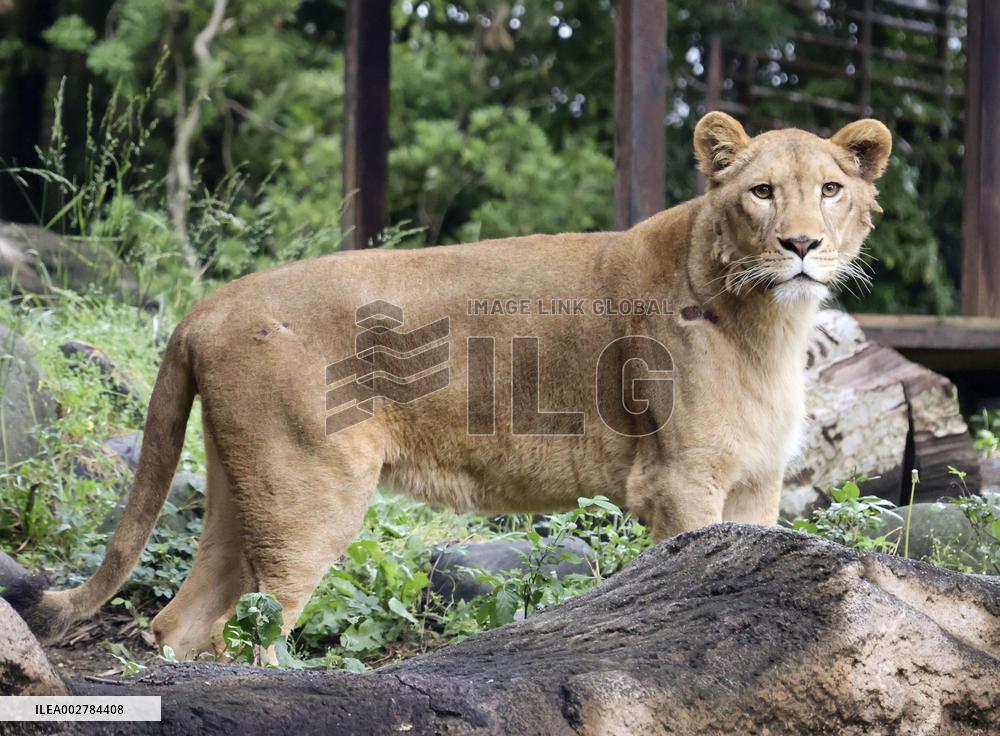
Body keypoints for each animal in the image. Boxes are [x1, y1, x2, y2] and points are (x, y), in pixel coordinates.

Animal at [5, 113, 891, 660]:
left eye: (832, 190)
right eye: (762, 192)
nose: (802, 245)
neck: (766, 324)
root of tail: (204, 307)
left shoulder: (756, 487)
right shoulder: (680, 482)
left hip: (240, 487)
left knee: (179, 623)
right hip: (308, 495)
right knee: (244, 632)